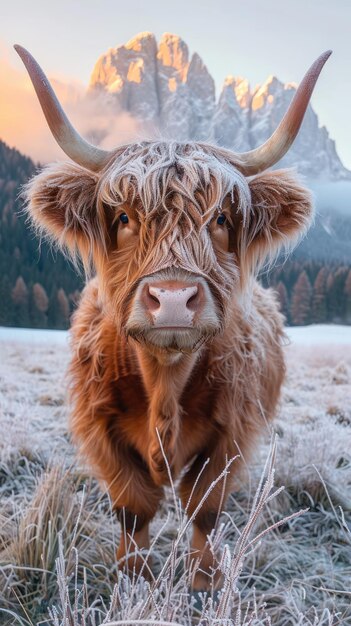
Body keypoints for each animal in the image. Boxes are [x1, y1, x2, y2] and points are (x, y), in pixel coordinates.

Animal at [15, 46, 330, 588]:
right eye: (123, 218)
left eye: (221, 219)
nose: (175, 297)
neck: (164, 377)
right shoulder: (101, 429)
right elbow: (133, 508)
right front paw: (134, 576)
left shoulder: (232, 434)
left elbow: (204, 507)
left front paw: (203, 582)